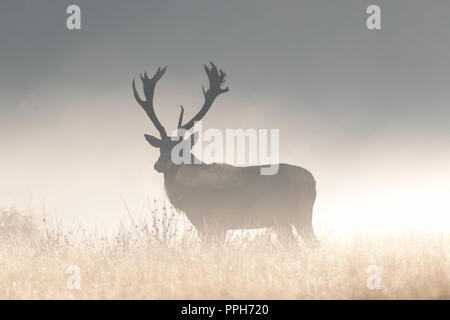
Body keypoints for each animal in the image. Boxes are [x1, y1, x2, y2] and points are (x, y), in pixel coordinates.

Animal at [132, 63, 318, 246]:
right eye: (160, 148)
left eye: (180, 150)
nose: (159, 165)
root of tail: (313, 182)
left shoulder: (214, 221)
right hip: (284, 220)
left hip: (297, 215)